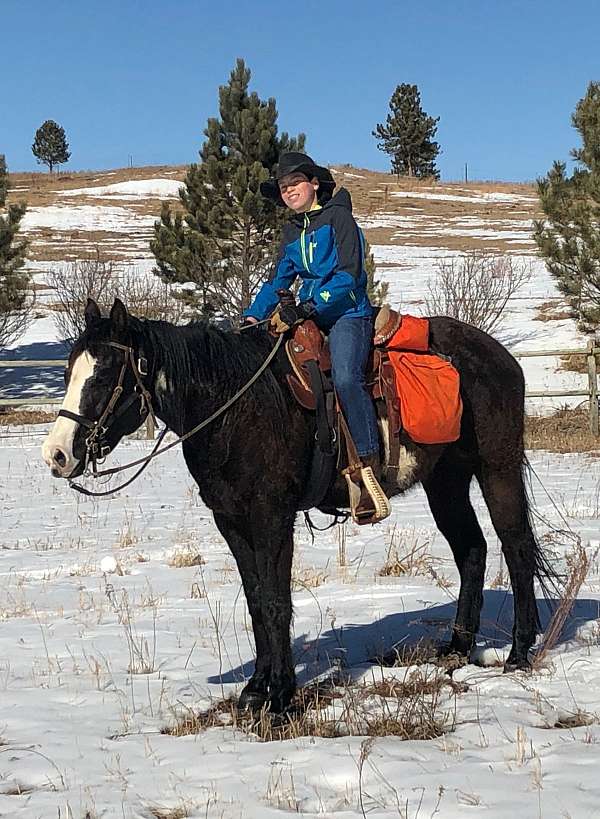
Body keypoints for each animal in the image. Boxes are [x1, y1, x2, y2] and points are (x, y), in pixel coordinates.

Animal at [42, 297, 553, 713]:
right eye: (67, 373)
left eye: (103, 375)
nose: (57, 455)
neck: (234, 406)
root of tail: (499, 357)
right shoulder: (231, 520)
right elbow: (255, 600)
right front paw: (255, 689)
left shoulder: (272, 516)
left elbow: (276, 601)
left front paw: (282, 696)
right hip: (445, 481)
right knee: (472, 551)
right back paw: (456, 648)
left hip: (497, 468)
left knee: (516, 547)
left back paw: (518, 653)